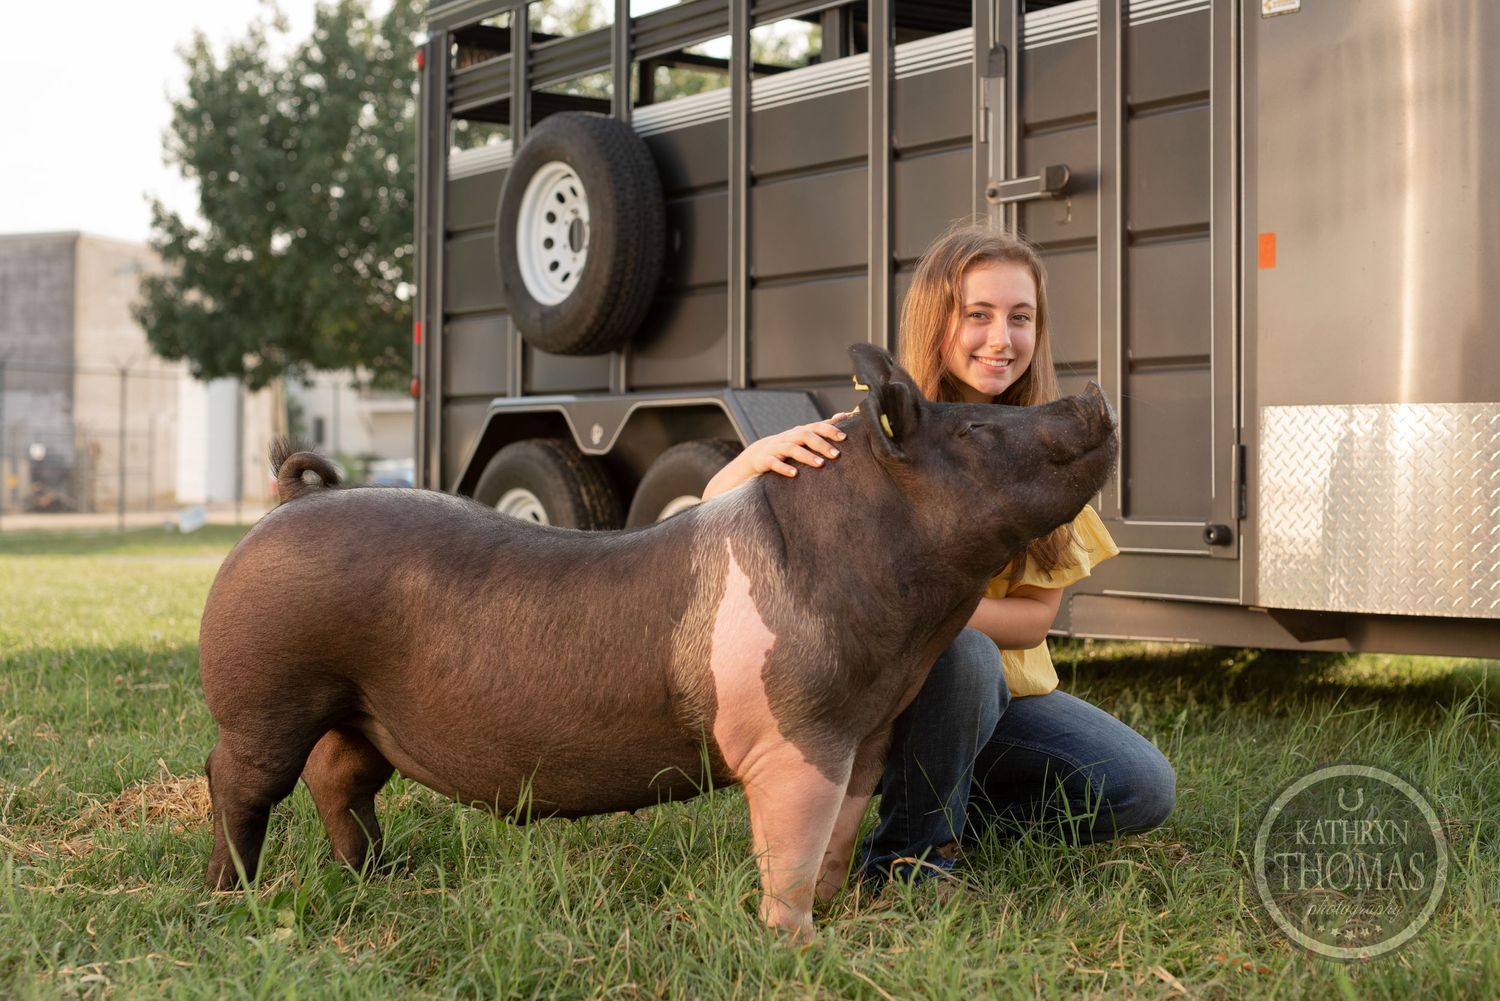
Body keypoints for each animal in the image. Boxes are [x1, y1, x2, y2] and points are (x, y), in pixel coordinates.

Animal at [198, 343, 1117, 940]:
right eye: (970, 431)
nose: (1093, 395)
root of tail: (290, 501)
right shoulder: (795, 735)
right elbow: (790, 844)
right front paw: (795, 944)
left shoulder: (867, 734)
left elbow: (837, 834)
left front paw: (833, 915)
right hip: (267, 691)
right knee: (239, 780)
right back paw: (231, 899)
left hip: (357, 709)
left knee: (340, 778)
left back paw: (380, 875)